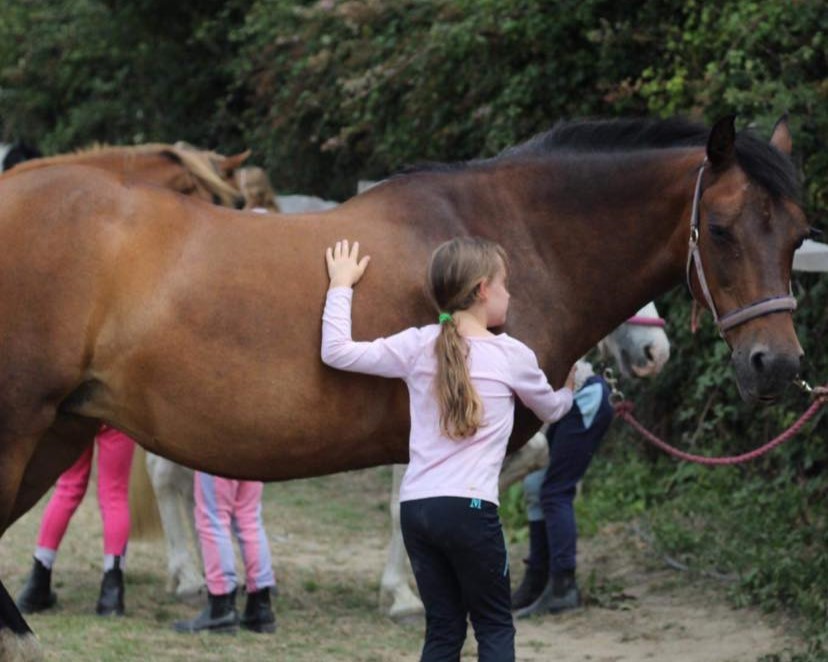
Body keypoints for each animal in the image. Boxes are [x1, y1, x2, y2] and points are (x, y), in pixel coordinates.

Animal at [0, 115, 813, 655]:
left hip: (61, 429)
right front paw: (403, 595)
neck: (514, 237)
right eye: (720, 229)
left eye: (799, 235)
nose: (775, 364)